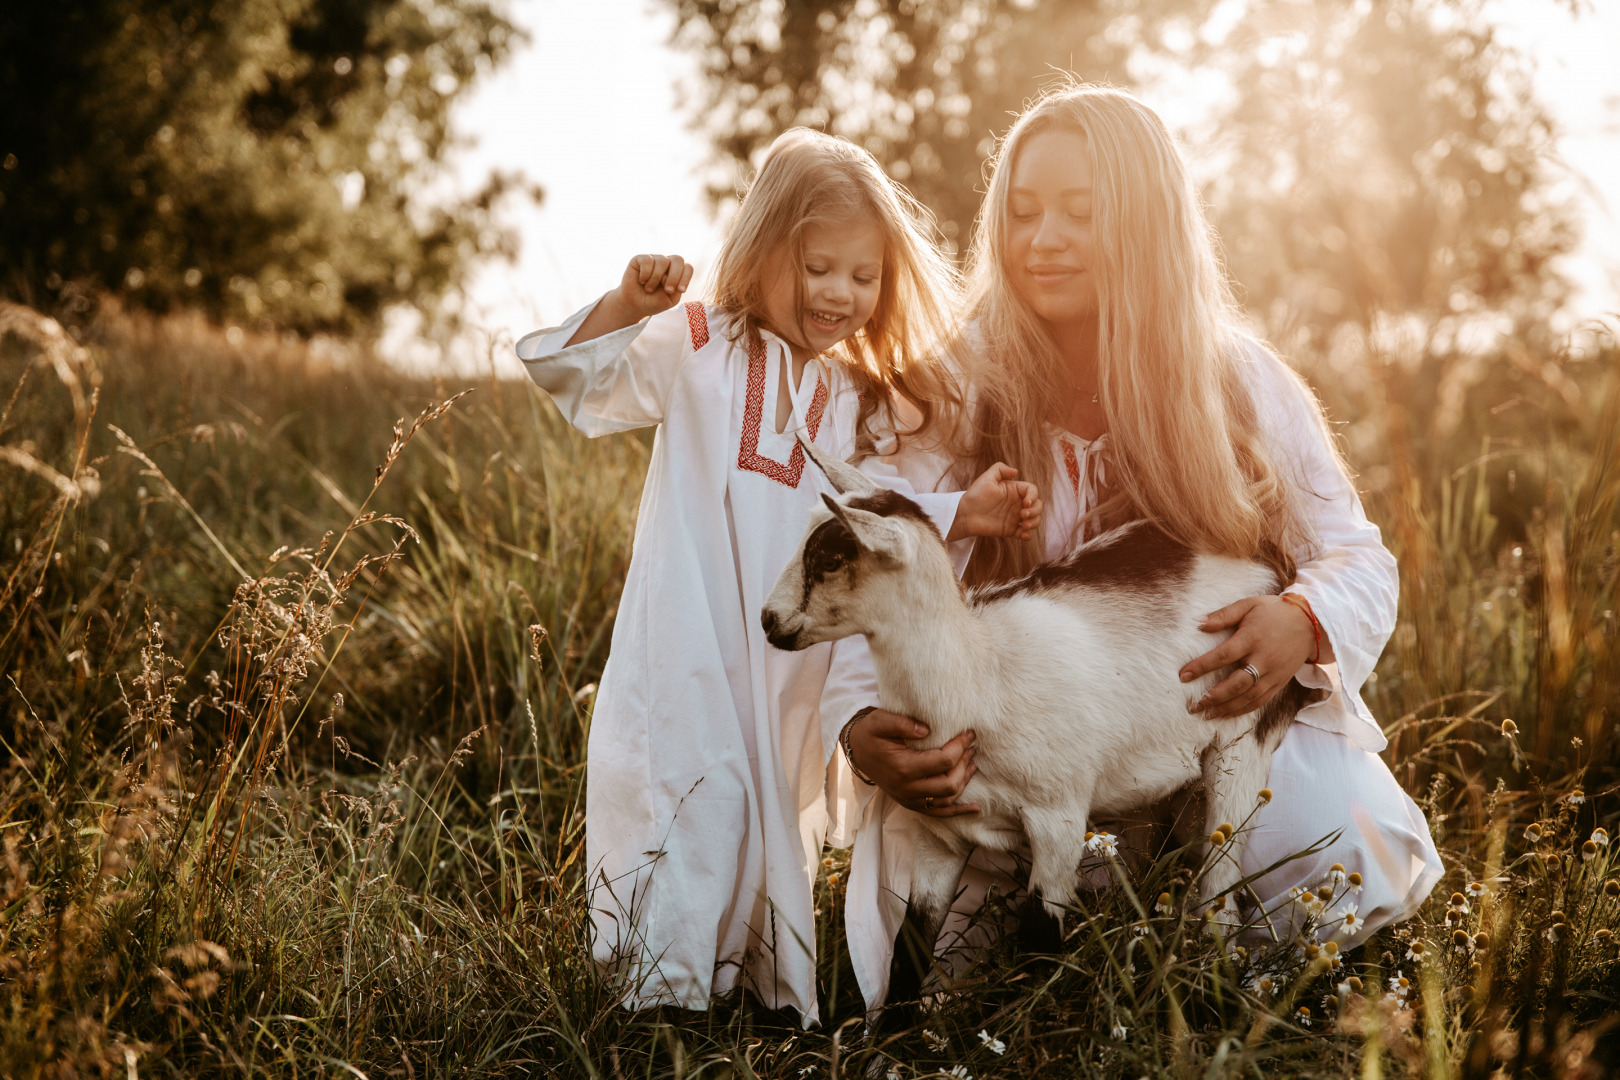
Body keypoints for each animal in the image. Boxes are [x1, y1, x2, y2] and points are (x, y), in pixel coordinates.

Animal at [764, 440, 1308, 1016]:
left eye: (830, 557)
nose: (768, 621)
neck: (977, 673)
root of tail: (1268, 561)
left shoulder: (1058, 819)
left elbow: (1041, 941)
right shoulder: (939, 833)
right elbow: (910, 946)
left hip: (1243, 739)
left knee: (1220, 892)